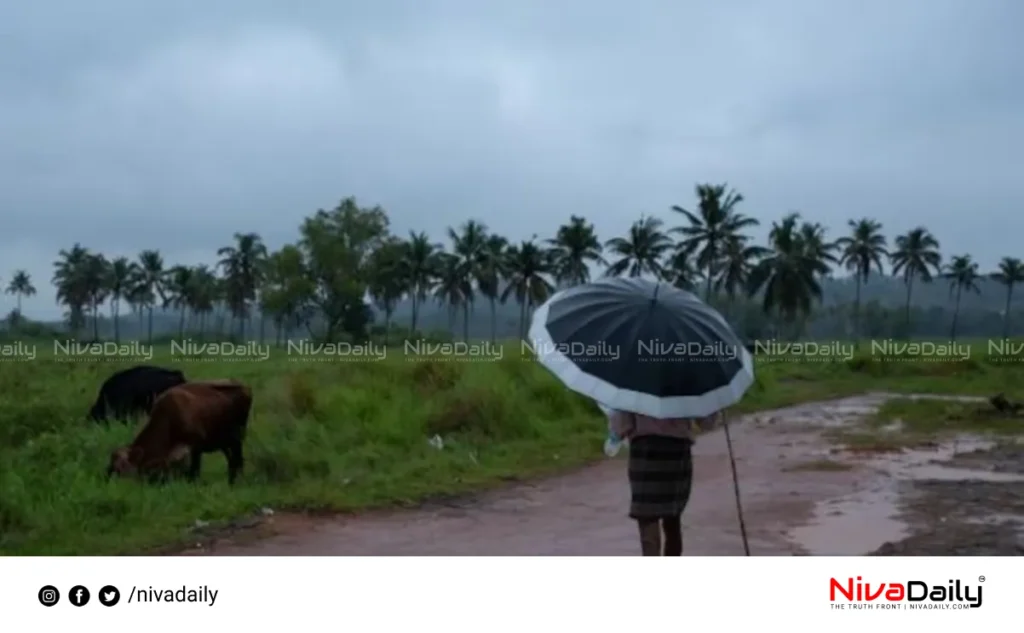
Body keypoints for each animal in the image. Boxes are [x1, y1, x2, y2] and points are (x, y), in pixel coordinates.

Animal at [105, 378, 253, 483]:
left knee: (238, 460)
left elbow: (193, 471)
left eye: (122, 468)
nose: (118, 486)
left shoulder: (195, 448)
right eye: (112, 469)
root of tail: (244, 387)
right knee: (232, 461)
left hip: (237, 439)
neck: (168, 419)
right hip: (224, 443)